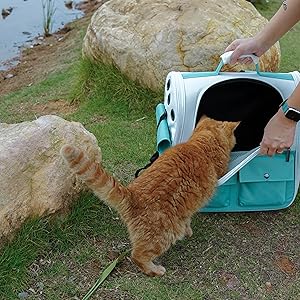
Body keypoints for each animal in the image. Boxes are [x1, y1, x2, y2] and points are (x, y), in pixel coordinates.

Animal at [61, 117, 238, 276]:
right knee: (137, 256)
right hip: (164, 235)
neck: (200, 145)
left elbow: (187, 220)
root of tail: (131, 194)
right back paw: (154, 270)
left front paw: (188, 231)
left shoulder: (186, 210)